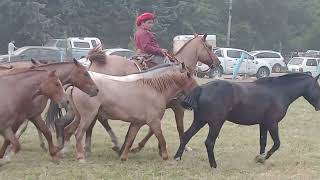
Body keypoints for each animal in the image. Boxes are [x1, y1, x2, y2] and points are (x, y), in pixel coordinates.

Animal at [61, 63, 198, 162]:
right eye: (194, 84)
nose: (188, 105)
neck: (155, 89)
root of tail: (75, 86)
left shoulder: (137, 123)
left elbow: (130, 139)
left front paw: (124, 155)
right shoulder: (154, 121)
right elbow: (160, 136)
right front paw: (164, 155)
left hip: (79, 117)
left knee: (68, 129)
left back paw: (64, 151)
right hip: (88, 116)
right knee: (79, 133)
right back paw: (80, 156)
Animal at [174, 72, 320, 168]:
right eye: (318, 88)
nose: (319, 106)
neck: (279, 91)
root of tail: (202, 88)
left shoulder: (263, 124)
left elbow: (263, 142)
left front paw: (259, 158)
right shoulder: (272, 123)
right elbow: (277, 143)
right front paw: (262, 158)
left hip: (200, 121)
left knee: (186, 136)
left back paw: (177, 158)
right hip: (216, 124)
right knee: (209, 142)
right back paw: (214, 165)